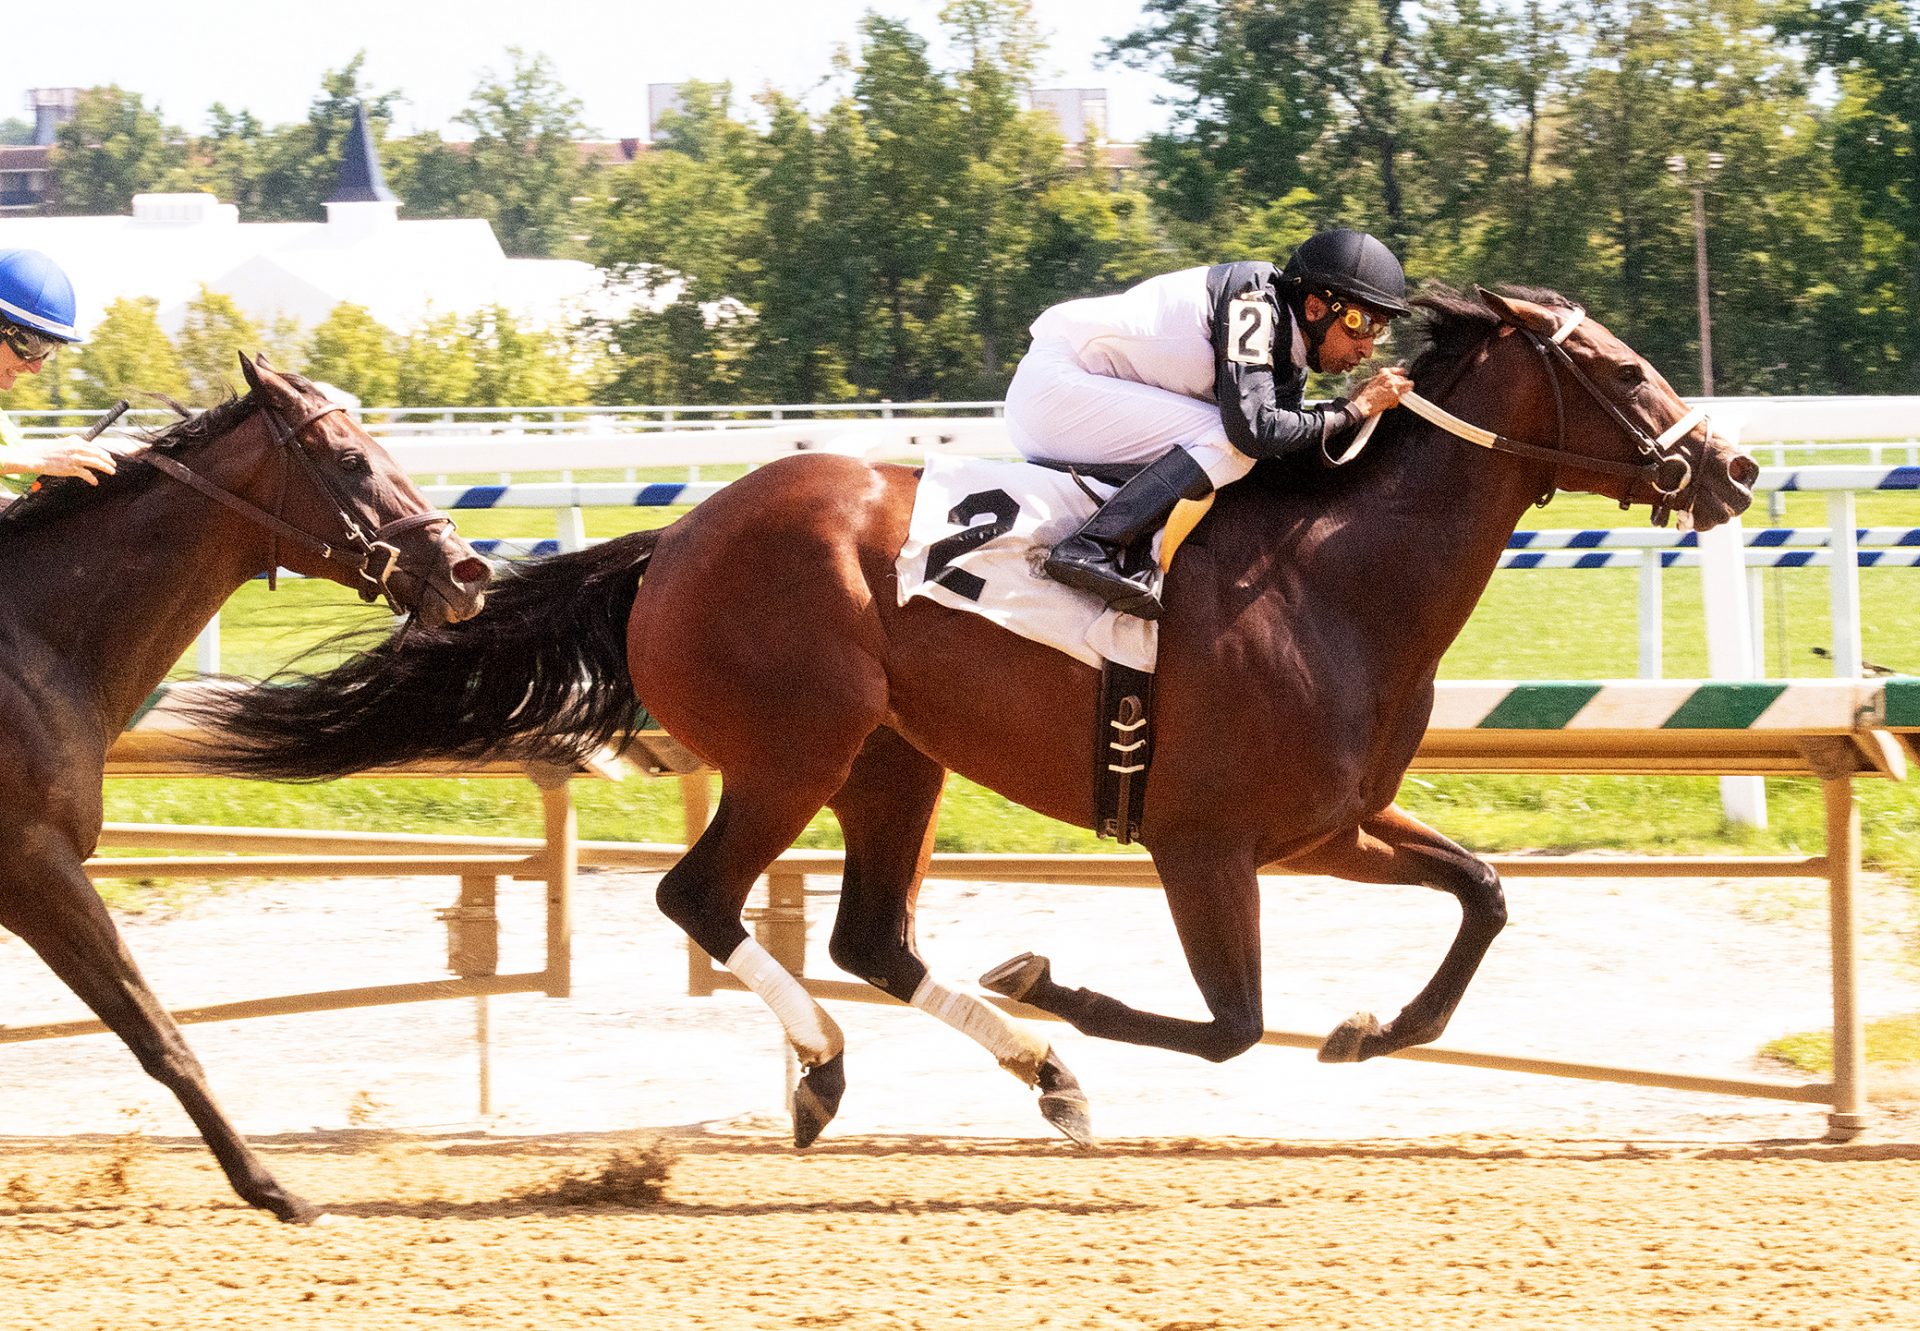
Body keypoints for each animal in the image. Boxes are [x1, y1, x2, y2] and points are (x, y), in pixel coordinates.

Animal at [0, 355, 491, 1221]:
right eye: (352, 458)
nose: (469, 573)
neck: (34, 642)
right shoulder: (35, 867)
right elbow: (157, 1032)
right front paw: (273, 1187)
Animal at [191, 288, 1758, 1144]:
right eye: (1623, 370)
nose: (1734, 467)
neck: (1335, 577)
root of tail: (679, 538)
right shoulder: (1204, 843)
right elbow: (1231, 1024)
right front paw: (1052, 981)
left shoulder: (1333, 823)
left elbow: (1482, 892)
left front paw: (1374, 1029)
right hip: (797, 747)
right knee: (707, 898)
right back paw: (843, 1064)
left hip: (895, 760)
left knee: (867, 935)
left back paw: (1028, 1072)